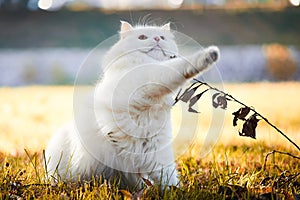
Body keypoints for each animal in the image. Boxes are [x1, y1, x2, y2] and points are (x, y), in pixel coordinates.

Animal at [45, 21, 220, 190]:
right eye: (142, 37)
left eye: (162, 37)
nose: (157, 38)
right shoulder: (150, 77)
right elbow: (179, 65)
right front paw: (210, 54)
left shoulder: (158, 150)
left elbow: (168, 177)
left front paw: (175, 192)